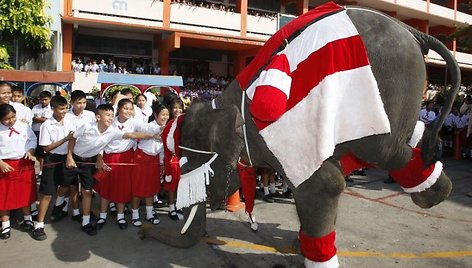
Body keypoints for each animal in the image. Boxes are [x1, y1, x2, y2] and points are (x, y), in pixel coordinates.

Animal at [142, 2, 460, 268]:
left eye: (195, 168)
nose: (144, 234)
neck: (227, 100)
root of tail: (413, 31)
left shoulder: (278, 137)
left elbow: (325, 185)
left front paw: (312, 256)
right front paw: (301, 246)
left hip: (393, 81)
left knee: (382, 148)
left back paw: (430, 193)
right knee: (400, 138)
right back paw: (432, 182)